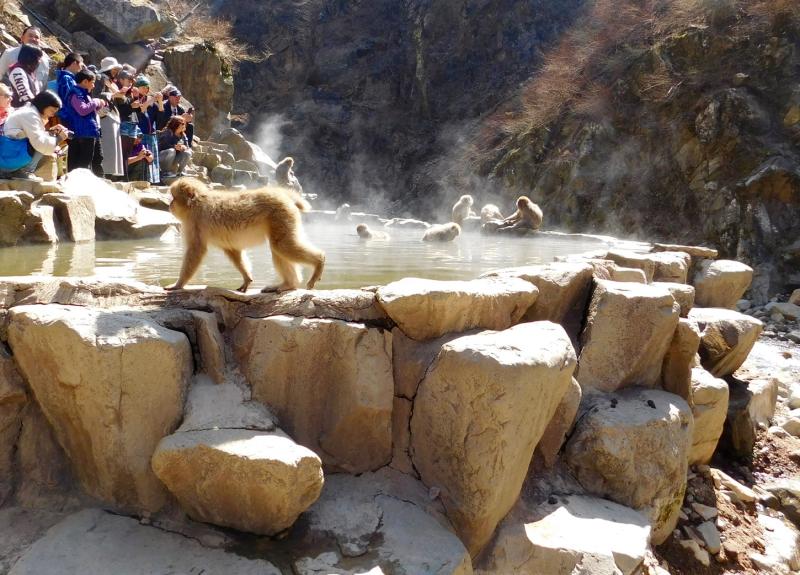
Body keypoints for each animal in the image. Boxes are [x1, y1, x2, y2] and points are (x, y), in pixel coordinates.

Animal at [166, 177, 324, 294]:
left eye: (173, 197)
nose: (170, 204)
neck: (196, 203)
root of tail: (283, 196)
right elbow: (232, 249)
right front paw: (247, 278)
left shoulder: (195, 221)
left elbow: (196, 249)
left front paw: (179, 284)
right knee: (278, 247)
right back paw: (289, 284)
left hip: (281, 215)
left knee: (281, 245)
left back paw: (319, 261)